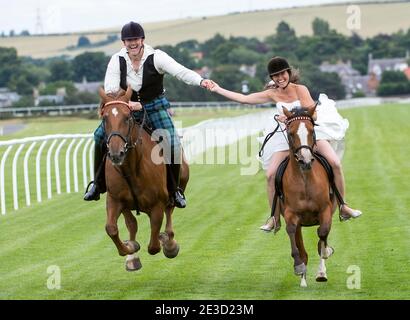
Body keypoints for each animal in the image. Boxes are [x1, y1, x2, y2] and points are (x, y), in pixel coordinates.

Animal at [98, 86, 190, 272]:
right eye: (105, 118)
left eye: (127, 117)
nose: (116, 153)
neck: (132, 168)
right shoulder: (115, 199)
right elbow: (113, 228)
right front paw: (131, 249)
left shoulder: (157, 204)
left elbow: (154, 245)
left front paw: (166, 242)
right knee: (132, 223)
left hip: (179, 184)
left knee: (169, 212)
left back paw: (169, 243)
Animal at [280, 106, 338, 286]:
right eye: (291, 133)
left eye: (312, 131)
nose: (305, 160)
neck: (305, 180)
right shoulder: (291, 213)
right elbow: (291, 231)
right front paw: (299, 266)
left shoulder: (325, 210)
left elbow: (322, 233)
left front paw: (323, 263)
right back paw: (303, 278)